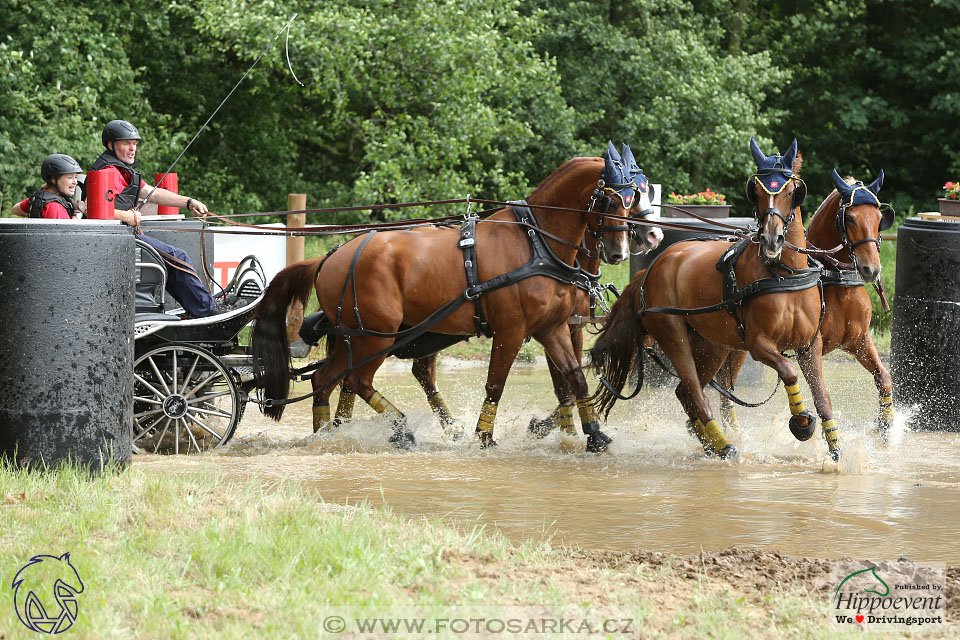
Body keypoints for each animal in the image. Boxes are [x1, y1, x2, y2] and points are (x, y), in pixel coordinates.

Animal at [255, 150, 644, 450]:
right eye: (612, 200)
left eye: (632, 201)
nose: (619, 252)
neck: (536, 244)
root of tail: (330, 256)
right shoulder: (511, 330)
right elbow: (496, 383)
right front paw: (484, 436)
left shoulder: (552, 328)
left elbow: (576, 379)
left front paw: (594, 434)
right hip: (375, 336)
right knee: (351, 380)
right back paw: (399, 430)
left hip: (358, 337)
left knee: (330, 379)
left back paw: (330, 433)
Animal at [588, 139, 844, 460]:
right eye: (757, 192)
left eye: (791, 191)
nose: (771, 239)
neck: (784, 275)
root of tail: (654, 267)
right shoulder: (759, 344)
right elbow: (789, 372)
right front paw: (801, 422)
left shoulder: (810, 345)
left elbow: (823, 397)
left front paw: (836, 451)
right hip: (673, 334)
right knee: (695, 392)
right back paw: (724, 445)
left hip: (712, 344)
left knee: (685, 392)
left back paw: (712, 443)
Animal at [716, 170, 888, 438]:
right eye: (849, 218)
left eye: (879, 218)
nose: (872, 269)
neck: (837, 282)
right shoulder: (806, 347)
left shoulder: (859, 339)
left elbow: (883, 377)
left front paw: (885, 427)